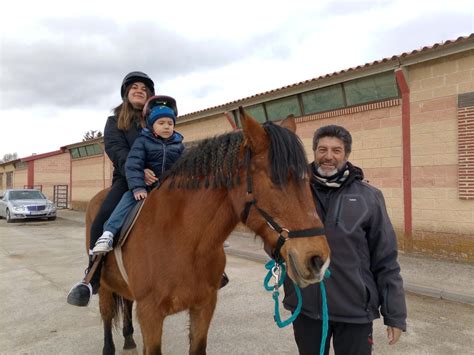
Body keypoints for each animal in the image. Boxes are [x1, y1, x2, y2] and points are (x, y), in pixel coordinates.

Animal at [85, 110, 330, 354]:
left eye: (308, 180)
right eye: (274, 180)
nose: (318, 260)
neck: (183, 240)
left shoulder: (204, 307)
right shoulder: (150, 313)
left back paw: (128, 339)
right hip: (104, 286)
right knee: (107, 316)